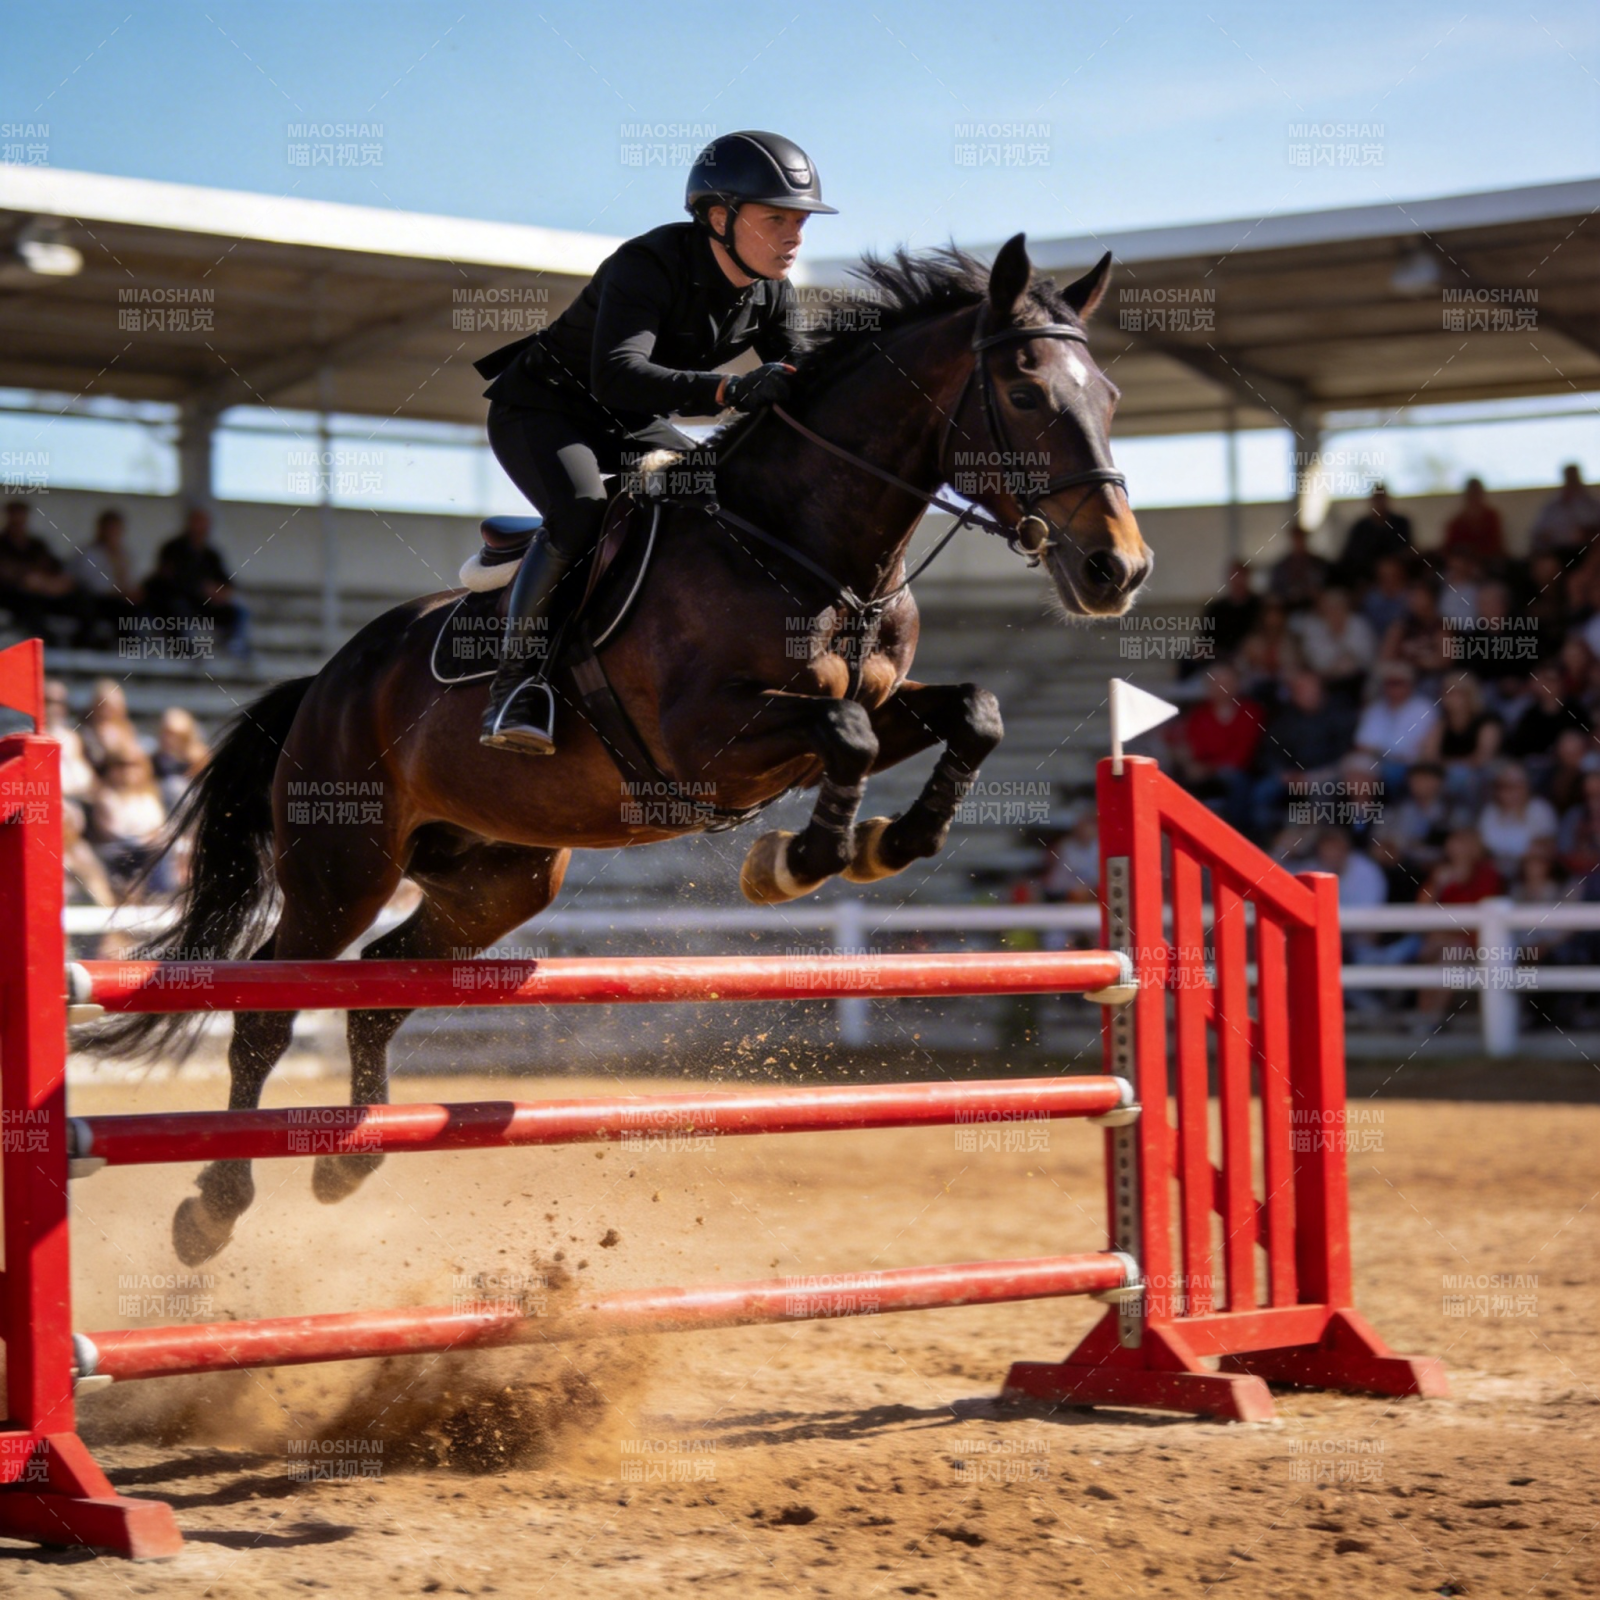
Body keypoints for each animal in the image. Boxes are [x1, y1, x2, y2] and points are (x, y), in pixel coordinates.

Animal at [93, 232, 1151, 1265]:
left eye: (1109, 396)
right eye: (1025, 394)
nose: (1120, 571)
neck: (803, 543)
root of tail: (325, 680)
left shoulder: (877, 706)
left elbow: (975, 711)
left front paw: (887, 844)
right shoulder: (702, 742)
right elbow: (843, 734)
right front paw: (797, 860)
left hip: (502, 877)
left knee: (384, 985)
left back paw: (349, 1158)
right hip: (340, 864)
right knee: (269, 1008)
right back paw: (215, 1206)